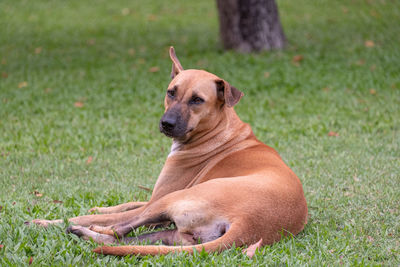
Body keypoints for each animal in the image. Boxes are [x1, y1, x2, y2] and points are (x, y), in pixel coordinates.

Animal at [31, 47, 308, 256]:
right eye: (171, 92)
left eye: (197, 100)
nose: (167, 124)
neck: (218, 132)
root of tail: (249, 224)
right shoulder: (155, 197)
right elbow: (126, 202)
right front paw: (99, 209)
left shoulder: (159, 198)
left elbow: (108, 214)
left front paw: (66, 218)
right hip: (174, 232)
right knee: (122, 238)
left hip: (174, 201)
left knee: (116, 229)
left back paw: (62, 226)